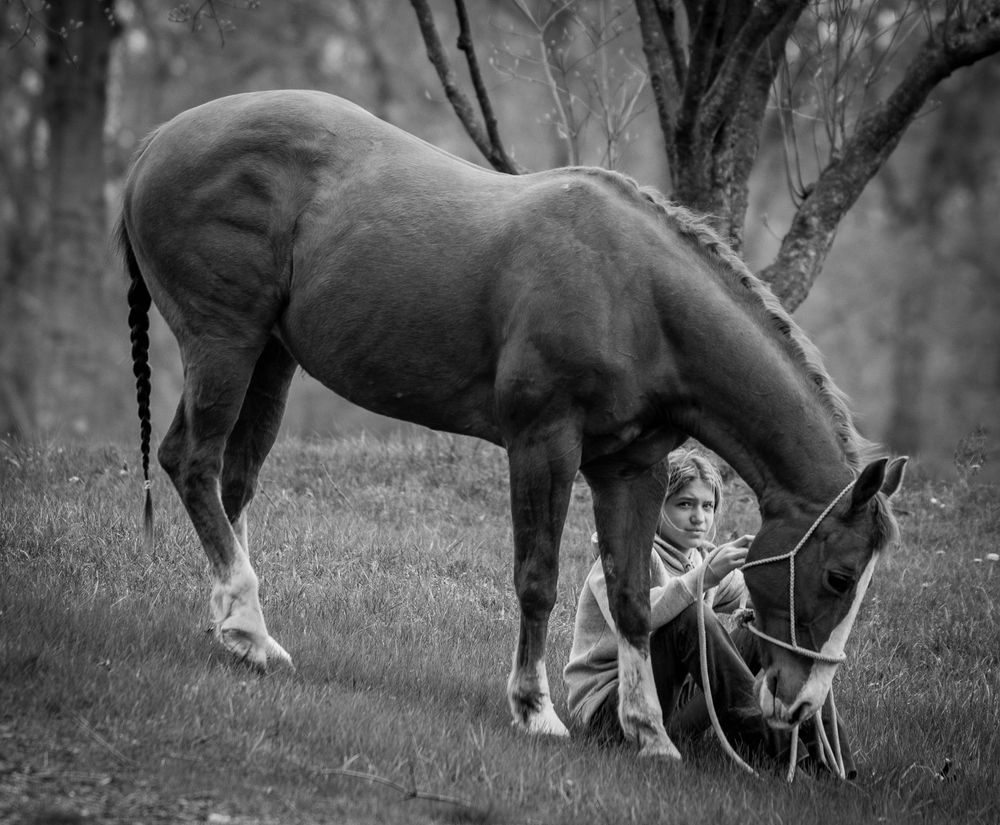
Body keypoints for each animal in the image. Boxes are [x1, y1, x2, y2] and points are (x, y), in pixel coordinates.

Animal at [118, 89, 906, 760]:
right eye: (838, 576)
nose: (800, 705)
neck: (634, 294)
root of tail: (157, 141)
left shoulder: (630, 468)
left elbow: (630, 597)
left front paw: (648, 732)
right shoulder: (542, 444)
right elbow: (538, 579)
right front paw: (535, 709)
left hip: (271, 359)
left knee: (233, 482)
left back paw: (237, 633)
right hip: (225, 343)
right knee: (191, 461)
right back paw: (249, 630)